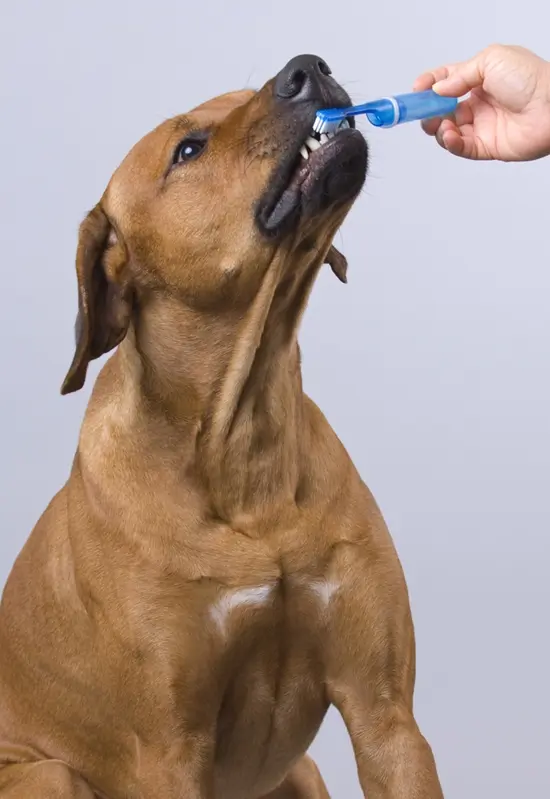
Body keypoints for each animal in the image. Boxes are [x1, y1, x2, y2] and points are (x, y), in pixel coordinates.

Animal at [0, 56, 444, 799]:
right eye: (188, 150)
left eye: (246, 94)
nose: (308, 67)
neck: (244, 448)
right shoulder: (170, 750)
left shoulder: (386, 716)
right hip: (49, 776)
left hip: (304, 772)